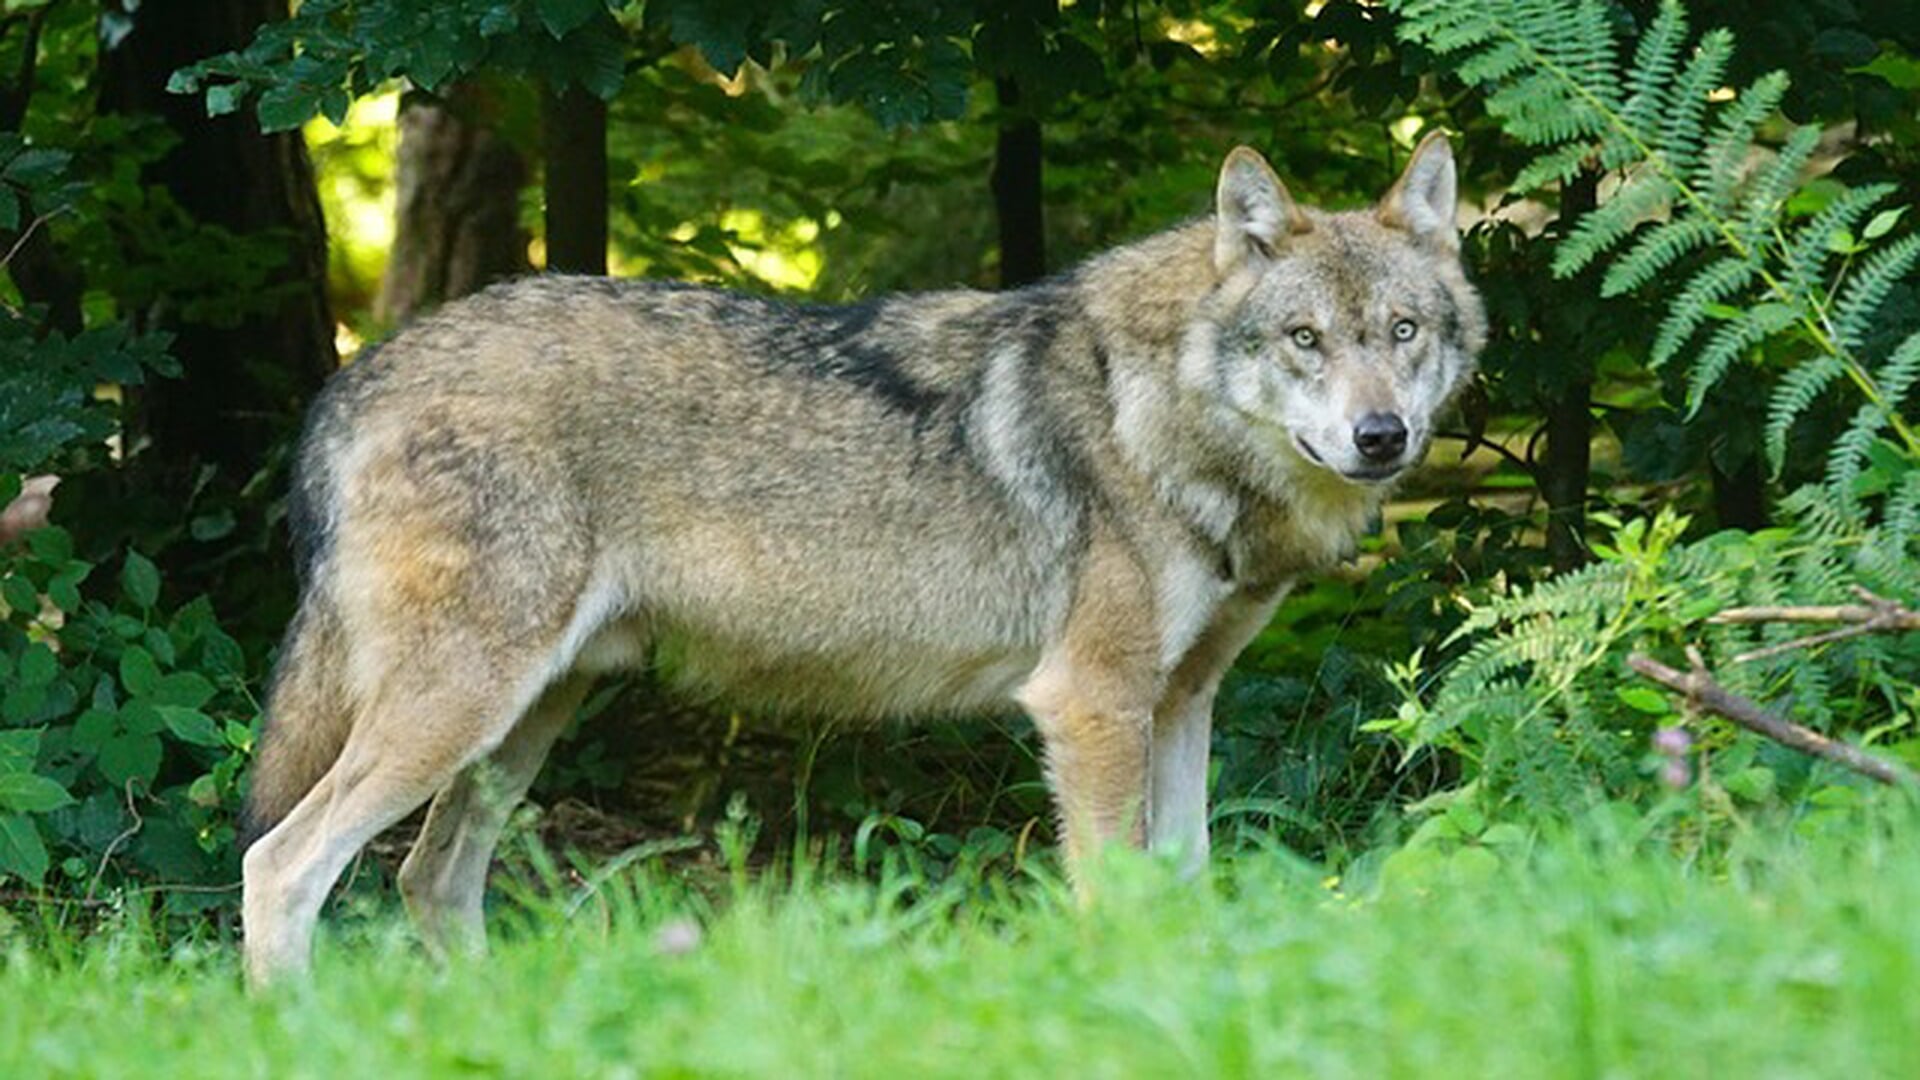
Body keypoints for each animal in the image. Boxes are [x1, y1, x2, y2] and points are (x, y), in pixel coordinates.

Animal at [240, 133, 1484, 983]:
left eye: (1403, 333)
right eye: (1305, 340)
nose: (1382, 437)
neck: (1161, 413)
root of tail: (357, 375)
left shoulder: (1181, 702)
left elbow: (1187, 886)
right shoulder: (1091, 705)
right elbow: (1117, 898)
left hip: (523, 721)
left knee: (428, 880)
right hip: (462, 711)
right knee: (282, 865)